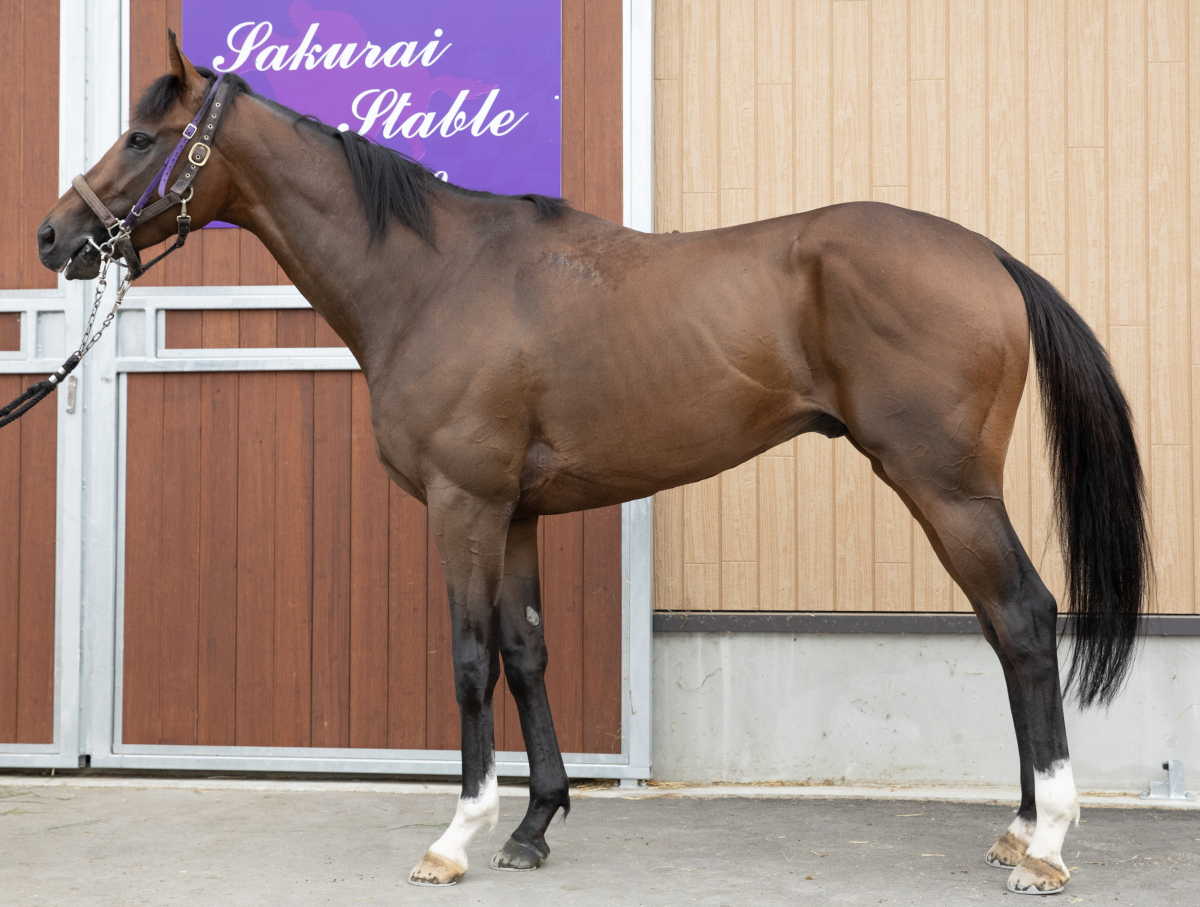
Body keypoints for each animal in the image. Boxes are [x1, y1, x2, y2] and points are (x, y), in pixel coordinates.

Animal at [37, 34, 1149, 896]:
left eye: (141, 137)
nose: (54, 234)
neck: (434, 276)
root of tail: (989, 256)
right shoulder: (517, 512)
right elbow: (526, 653)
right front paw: (535, 825)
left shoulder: (463, 505)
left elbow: (470, 658)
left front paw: (456, 837)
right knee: (1003, 630)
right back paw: (1016, 826)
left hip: (944, 484)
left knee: (1023, 617)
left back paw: (1046, 843)